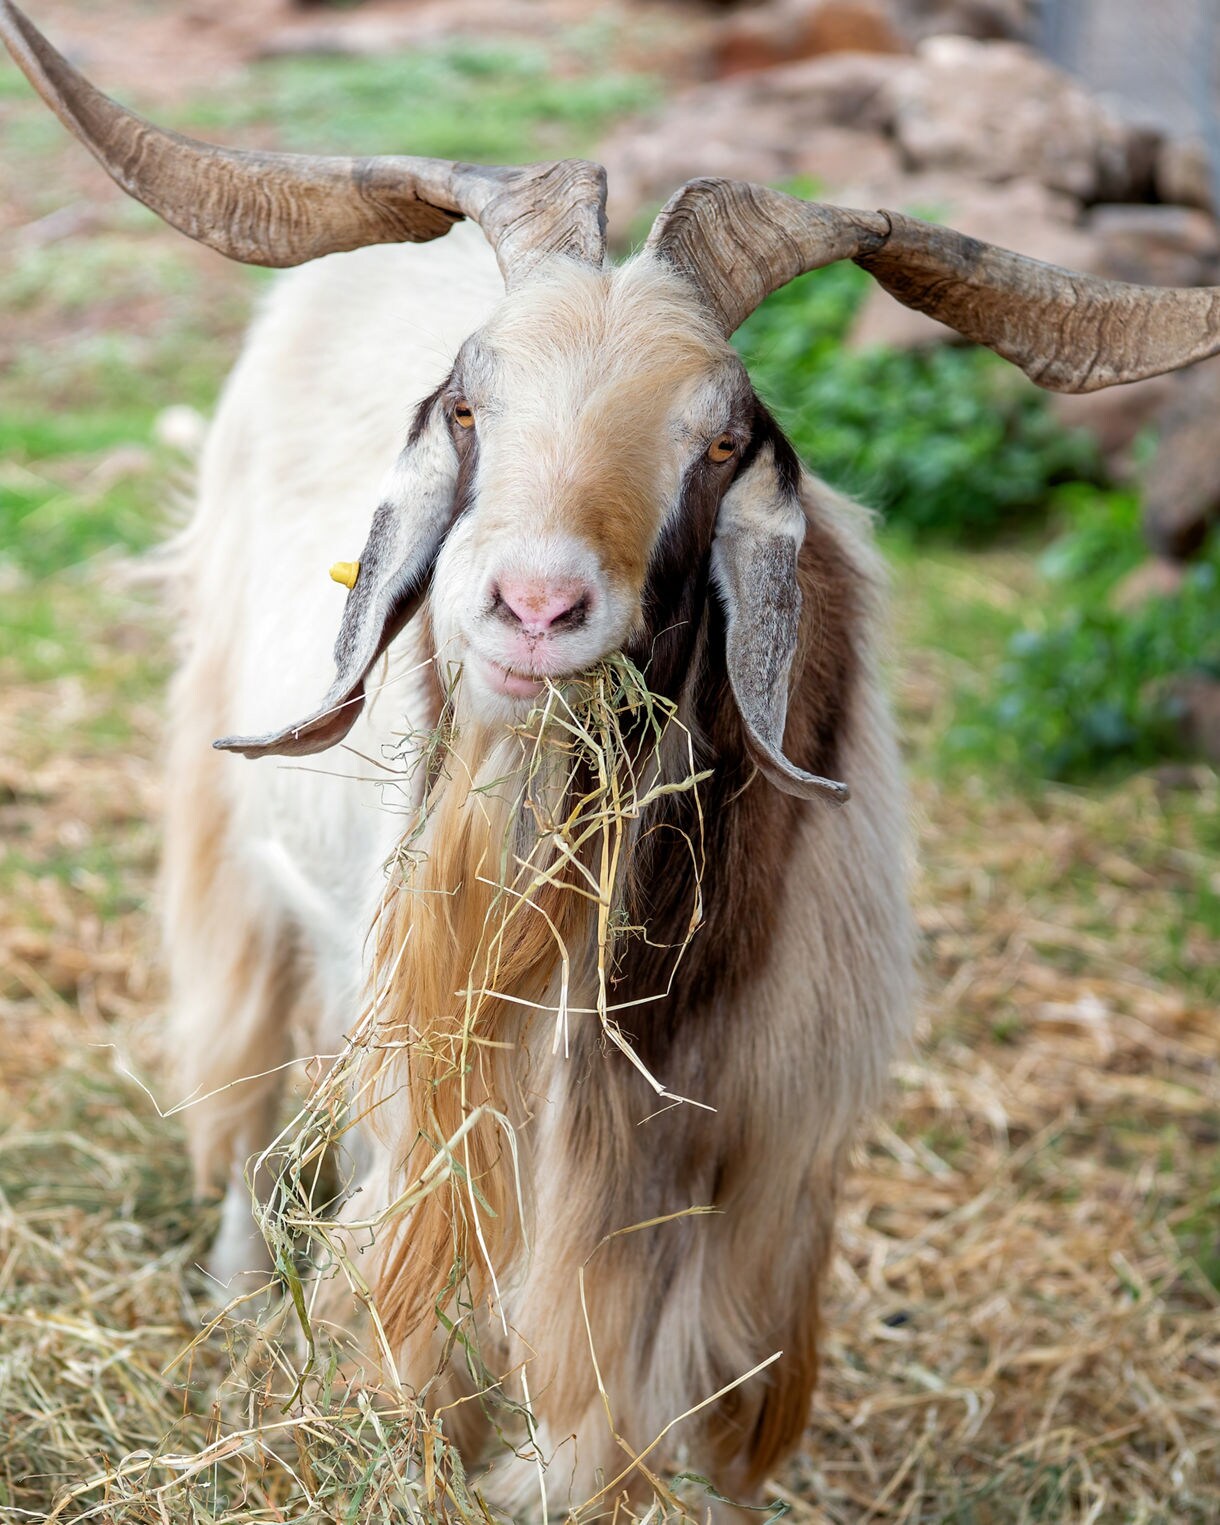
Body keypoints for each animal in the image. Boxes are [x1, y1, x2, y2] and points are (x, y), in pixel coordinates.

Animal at [7, 2, 1220, 1514]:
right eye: (471, 408)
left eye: (718, 438)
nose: (532, 606)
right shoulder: (467, 1105)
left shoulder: (741, 1145)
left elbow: (652, 1391)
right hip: (238, 853)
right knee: (246, 1074)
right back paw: (236, 1294)